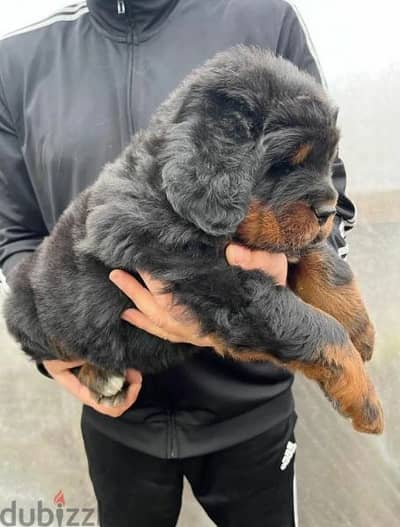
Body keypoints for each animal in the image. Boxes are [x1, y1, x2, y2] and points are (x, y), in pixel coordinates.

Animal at [4, 45, 382, 434]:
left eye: (327, 161)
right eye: (284, 164)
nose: (328, 210)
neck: (174, 198)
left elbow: (325, 263)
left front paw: (360, 329)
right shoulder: (217, 282)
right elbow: (310, 324)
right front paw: (365, 400)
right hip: (36, 318)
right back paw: (101, 377)